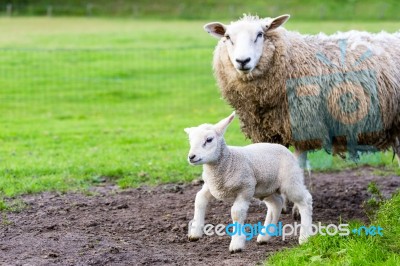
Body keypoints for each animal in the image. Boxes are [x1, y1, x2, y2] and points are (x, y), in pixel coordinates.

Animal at [184, 111, 312, 252]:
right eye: (190, 141)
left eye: (209, 139)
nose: (191, 157)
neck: (228, 161)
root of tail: (284, 149)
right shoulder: (211, 186)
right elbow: (199, 199)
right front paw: (195, 233)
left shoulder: (245, 189)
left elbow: (236, 213)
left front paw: (236, 244)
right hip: (266, 188)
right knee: (276, 204)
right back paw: (264, 237)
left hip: (290, 180)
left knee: (305, 200)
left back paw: (305, 237)